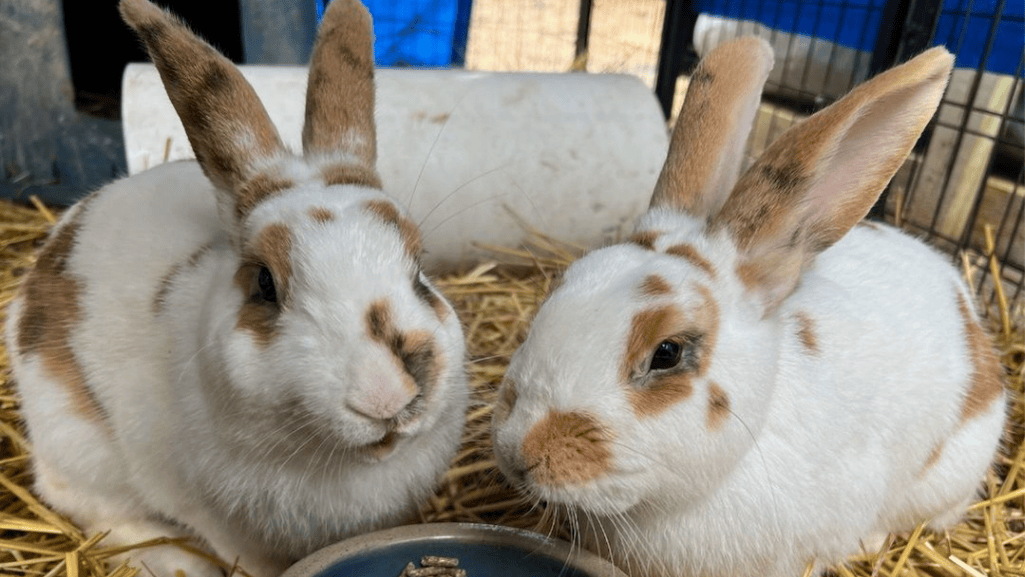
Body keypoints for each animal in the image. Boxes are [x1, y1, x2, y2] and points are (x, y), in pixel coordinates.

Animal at [2, 0, 469, 575]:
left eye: (419, 267)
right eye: (265, 284)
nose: (391, 395)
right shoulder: (207, 512)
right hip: (77, 443)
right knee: (93, 508)